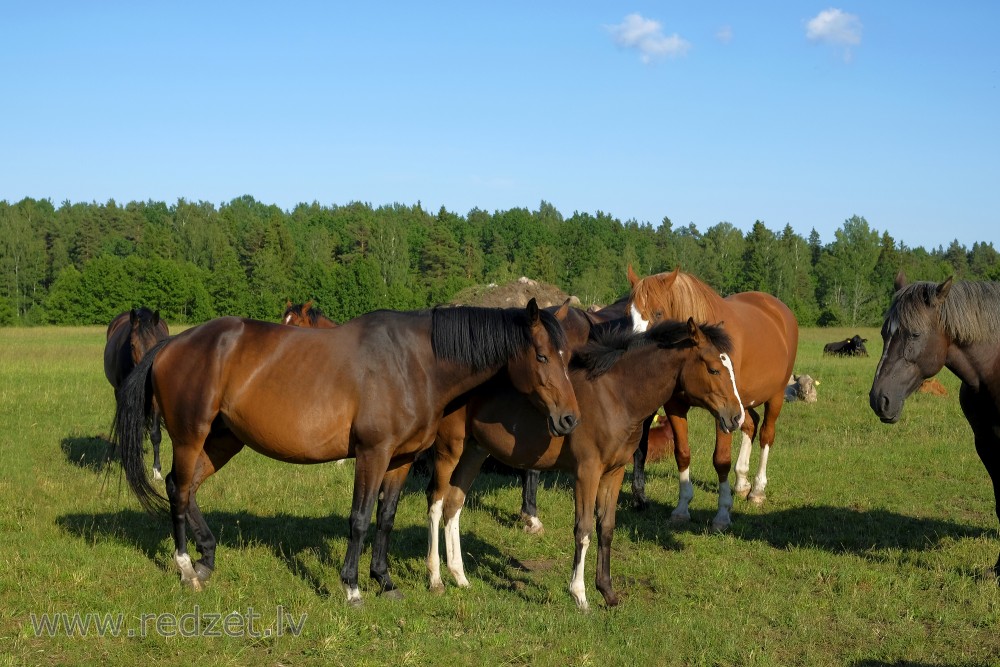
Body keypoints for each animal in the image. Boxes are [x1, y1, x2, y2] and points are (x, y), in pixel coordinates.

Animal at [111, 300, 580, 604]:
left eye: (567, 355)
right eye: (541, 356)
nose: (569, 419)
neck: (414, 362)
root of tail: (172, 344)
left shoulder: (400, 460)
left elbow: (385, 519)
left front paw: (385, 582)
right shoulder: (372, 454)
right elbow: (359, 519)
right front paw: (352, 587)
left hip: (223, 440)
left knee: (184, 488)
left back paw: (206, 559)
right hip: (191, 437)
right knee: (178, 489)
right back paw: (186, 566)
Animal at [426, 318, 748, 612]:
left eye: (731, 368)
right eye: (714, 369)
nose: (736, 417)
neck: (615, 396)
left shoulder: (614, 473)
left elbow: (606, 527)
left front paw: (608, 592)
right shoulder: (586, 472)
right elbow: (583, 530)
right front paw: (579, 595)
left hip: (474, 451)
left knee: (454, 505)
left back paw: (460, 577)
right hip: (450, 450)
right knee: (436, 502)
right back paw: (436, 579)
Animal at [624, 266, 796, 532]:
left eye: (658, 312)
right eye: (628, 314)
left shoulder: (722, 411)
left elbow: (721, 459)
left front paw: (723, 514)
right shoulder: (676, 406)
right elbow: (682, 454)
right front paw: (682, 508)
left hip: (773, 396)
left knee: (767, 434)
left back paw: (757, 490)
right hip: (743, 403)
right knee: (750, 424)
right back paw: (742, 481)